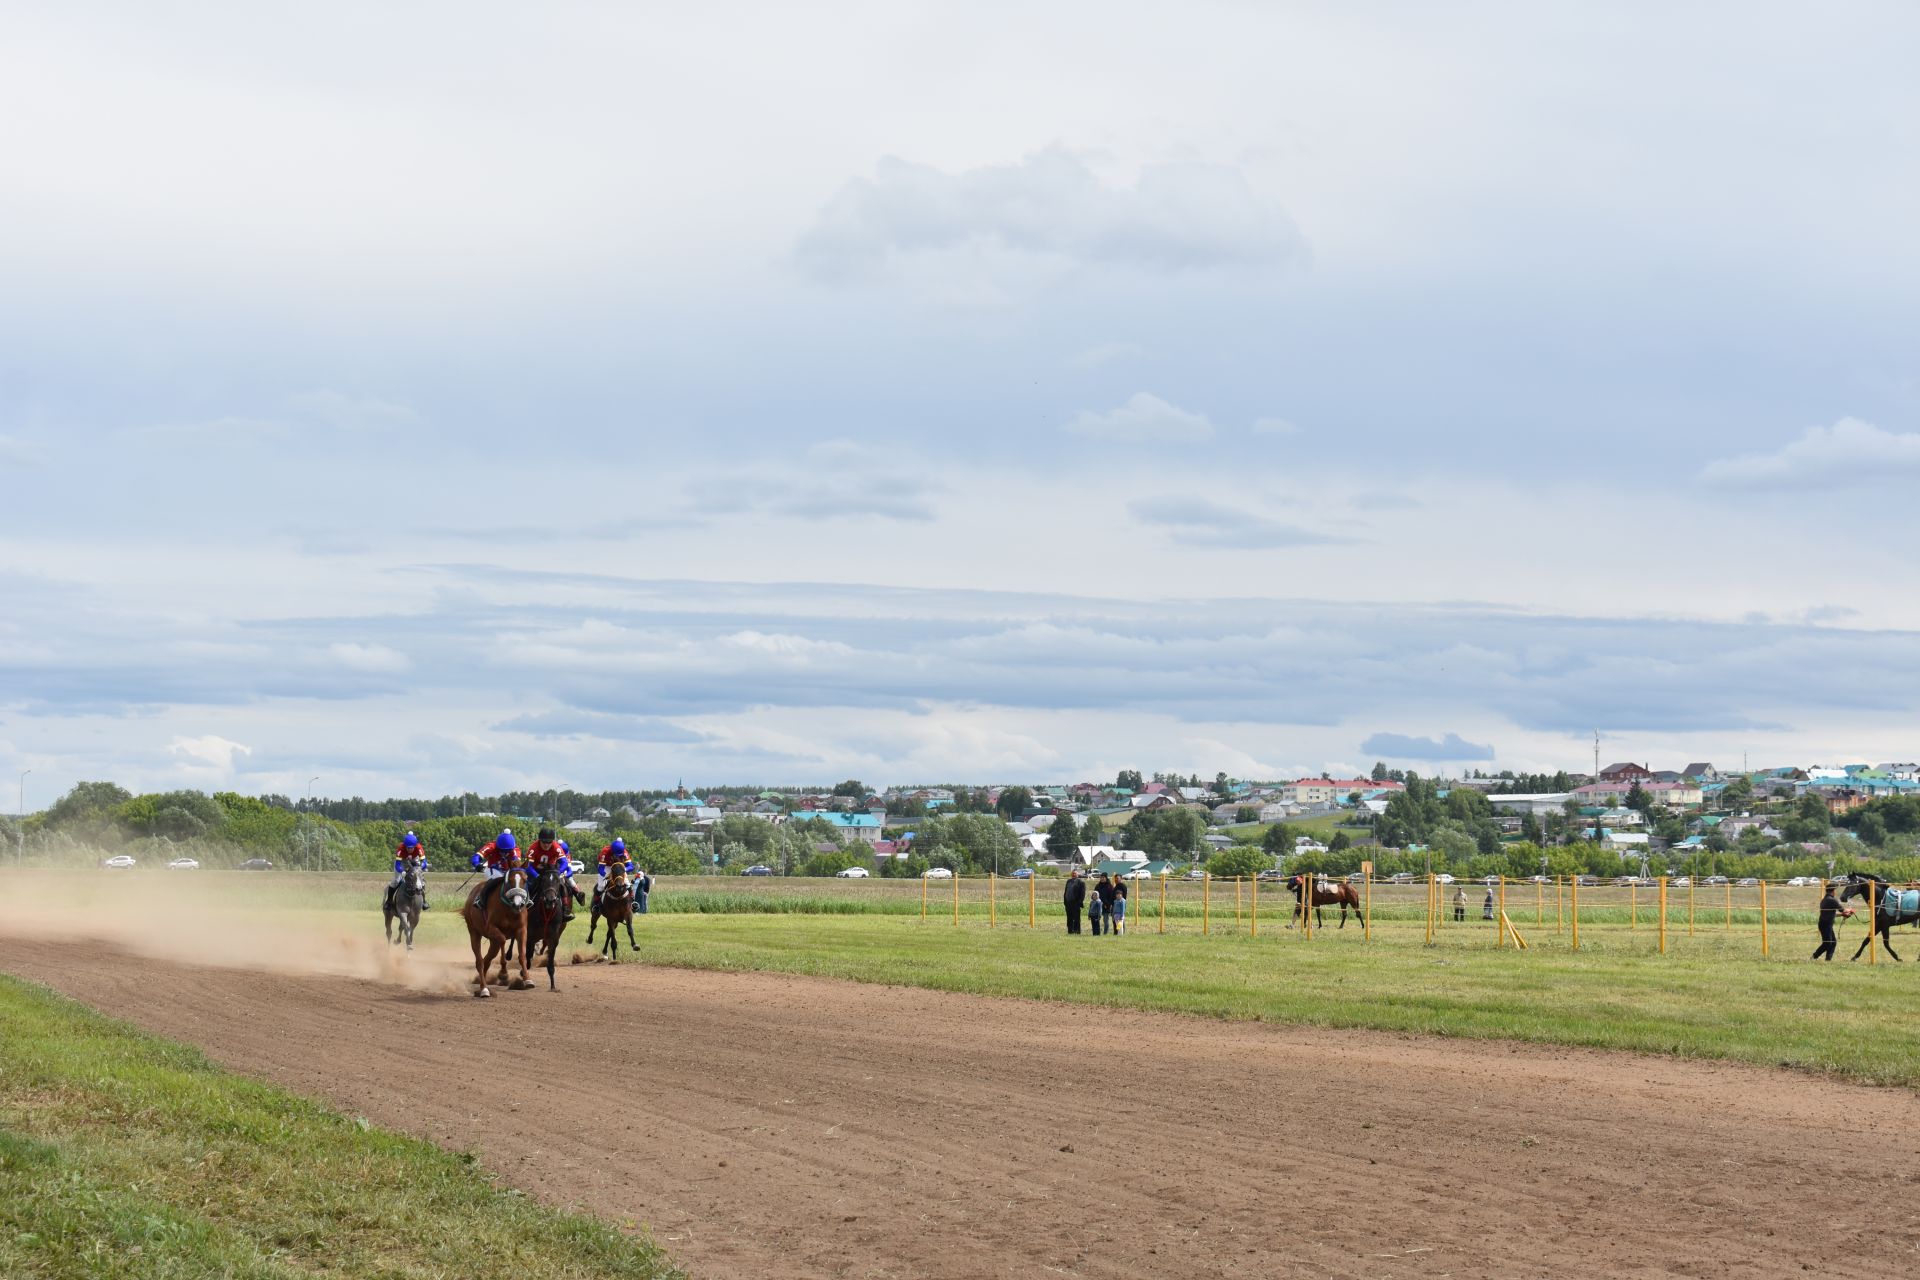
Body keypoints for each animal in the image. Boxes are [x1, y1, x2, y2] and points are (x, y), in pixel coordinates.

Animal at [458, 867, 533, 997]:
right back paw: (484, 989)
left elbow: (522, 955)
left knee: (487, 960)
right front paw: (503, 973)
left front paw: (527, 979)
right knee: (480, 961)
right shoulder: (492, 928)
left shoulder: (522, 930)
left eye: (525, 880)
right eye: (509, 881)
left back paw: (481, 984)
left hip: (493, 942)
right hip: (474, 933)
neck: (509, 910)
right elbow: (503, 940)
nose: (518, 904)